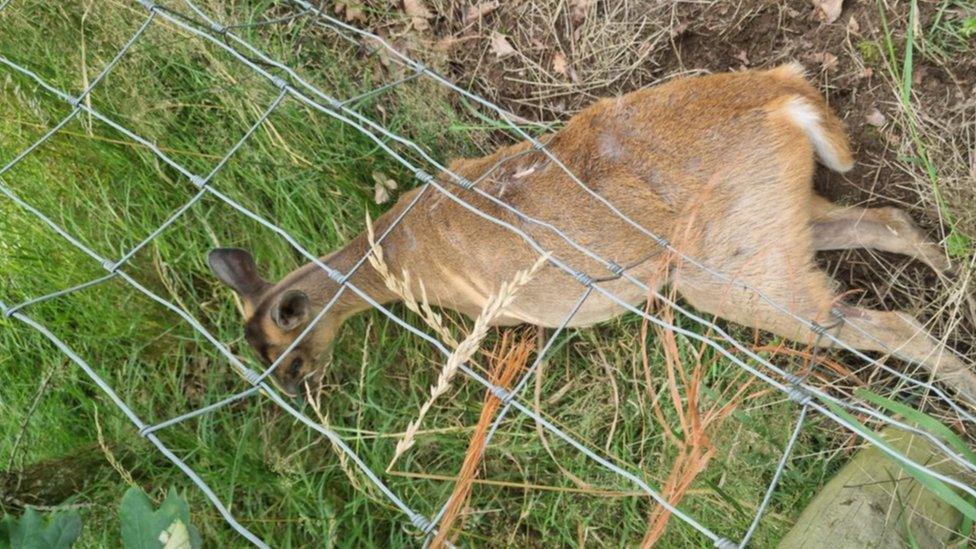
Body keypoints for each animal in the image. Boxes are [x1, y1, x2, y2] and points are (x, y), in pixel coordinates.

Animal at [208, 62, 976, 400]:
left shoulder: (492, 307)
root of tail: (785, 94)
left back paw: (960, 394)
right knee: (888, 221)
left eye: (285, 353)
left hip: (725, 271)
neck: (395, 257)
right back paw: (948, 281)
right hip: (764, 220)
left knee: (879, 321)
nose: (293, 392)